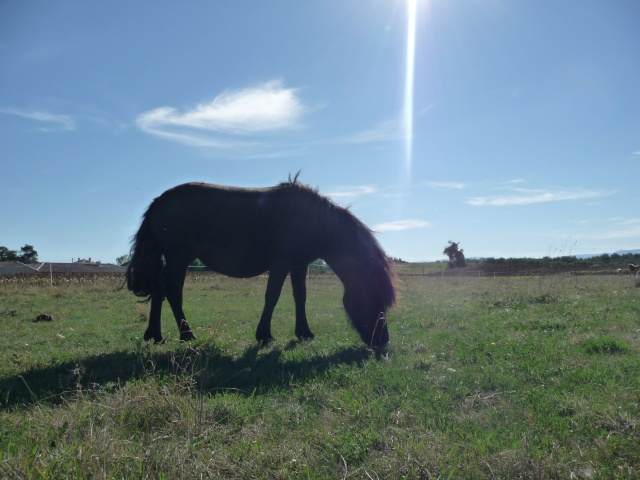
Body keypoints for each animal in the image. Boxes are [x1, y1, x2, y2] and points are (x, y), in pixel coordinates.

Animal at [125, 174, 396, 346]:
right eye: (376, 299)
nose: (383, 341)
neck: (314, 221)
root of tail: (159, 201)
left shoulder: (299, 265)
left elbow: (300, 296)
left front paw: (304, 332)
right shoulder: (281, 263)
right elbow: (272, 297)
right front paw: (264, 335)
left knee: (159, 290)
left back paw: (156, 336)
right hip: (178, 258)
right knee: (172, 291)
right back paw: (186, 334)